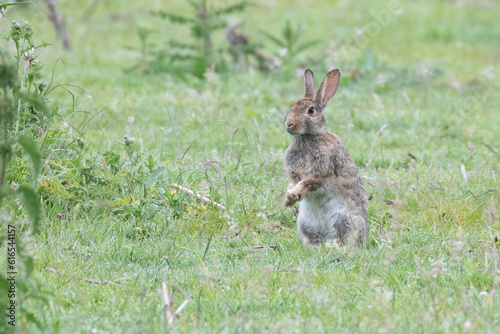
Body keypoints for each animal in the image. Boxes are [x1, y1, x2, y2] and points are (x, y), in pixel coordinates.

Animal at [284, 68, 370, 245]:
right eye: (291, 107)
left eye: (311, 111)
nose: (289, 125)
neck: (306, 137)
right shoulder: (294, 173)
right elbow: (293, 182)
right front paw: (288, 198)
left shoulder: (321, 173)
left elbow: (306, 182)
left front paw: (294, 195)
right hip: (304, 222)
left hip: (341, 218)